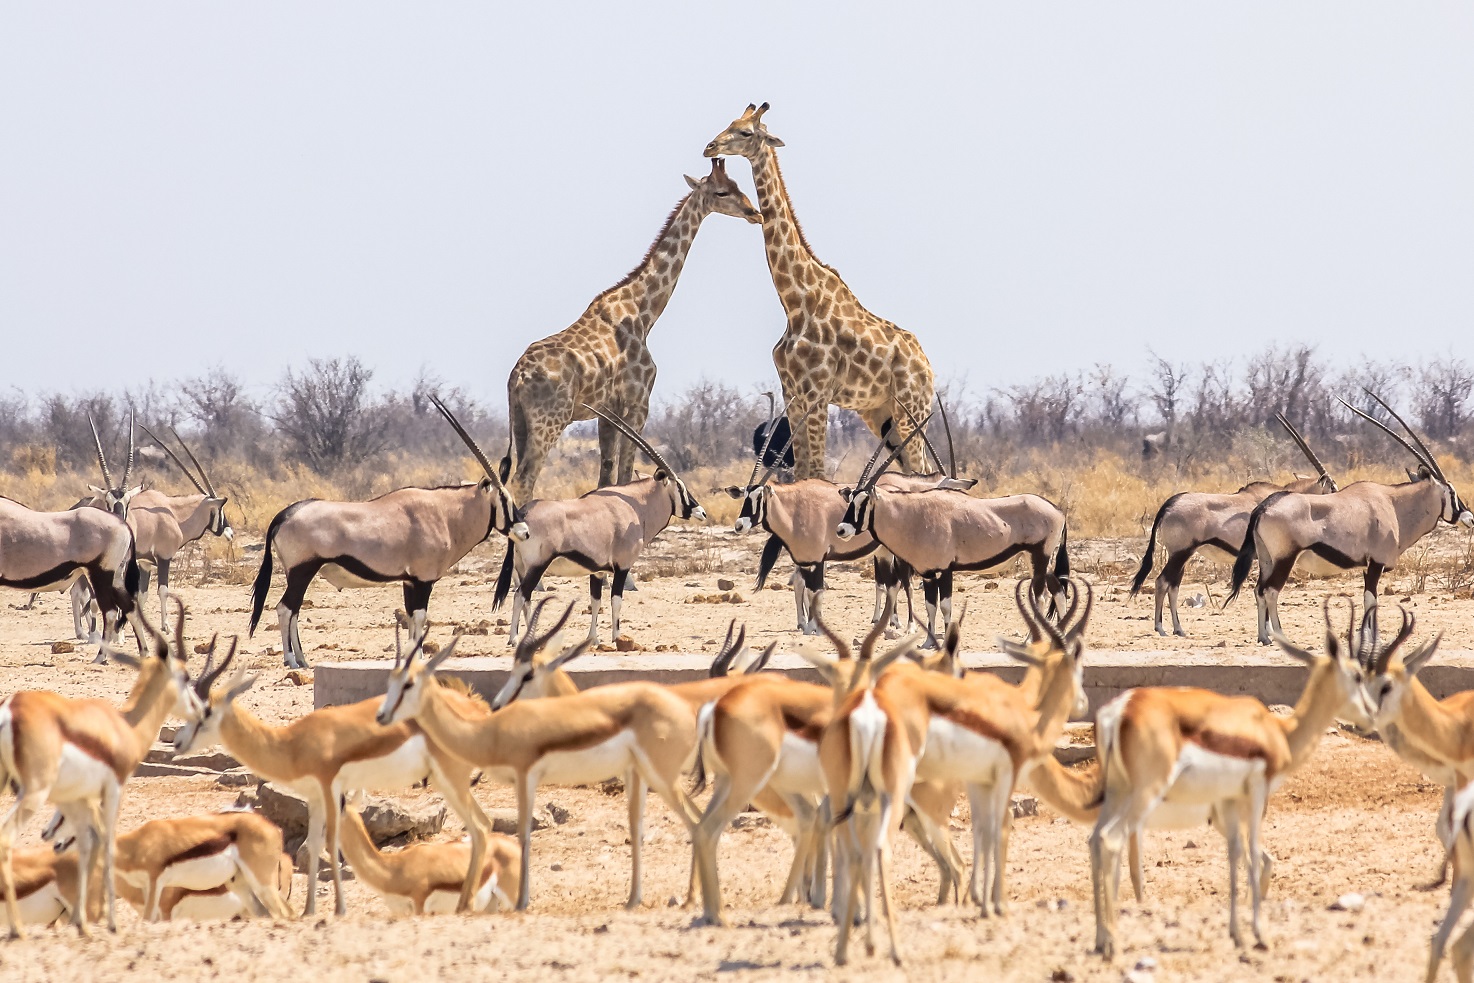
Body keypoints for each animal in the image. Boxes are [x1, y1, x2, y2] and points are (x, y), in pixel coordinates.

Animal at [504, 160, 760, 504]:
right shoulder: (638, 403)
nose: (754, 212)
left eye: (737, 184)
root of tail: (517, 376)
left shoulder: (606, 412)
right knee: (524, 479)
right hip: (549, 421)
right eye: (722, 192)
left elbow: (605, 478)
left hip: (520, 421)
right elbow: (625, 474)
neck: (643, 312)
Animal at [701, 103, 931, 480]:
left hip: (911, 408)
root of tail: (928, 367)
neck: (795, 302)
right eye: (730, 122)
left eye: (746, 132)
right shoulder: (793, 394)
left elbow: (817, 472)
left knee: (924, 470)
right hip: (881, 413)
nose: (710, 146)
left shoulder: (817, 393)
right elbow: (804, 471)